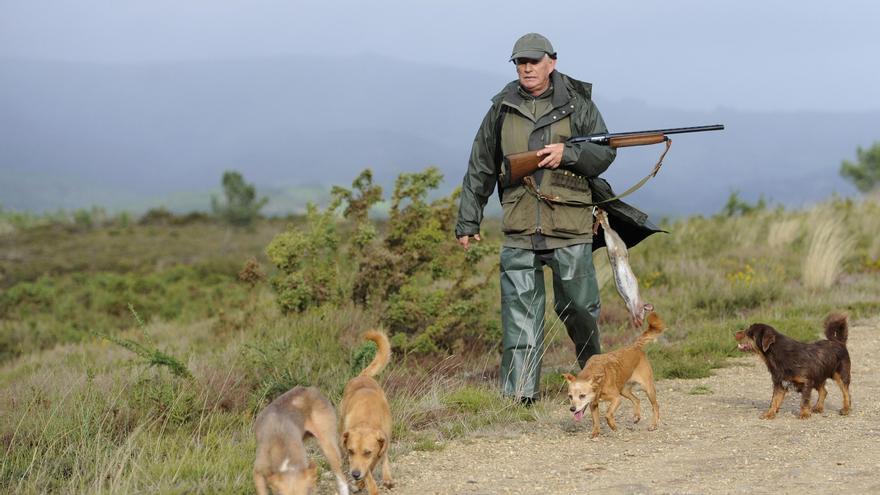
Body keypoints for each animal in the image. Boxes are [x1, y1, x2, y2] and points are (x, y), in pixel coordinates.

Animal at [338, 332, 394, 494]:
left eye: (367, 452)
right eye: (351, 451)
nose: (355, 474)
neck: (366, 420)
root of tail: (363, 376)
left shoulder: (378, 448)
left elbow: (373, 464)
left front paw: (363, 483)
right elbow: (368, 474)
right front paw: (364, 484)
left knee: (385, 456)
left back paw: (387, 478)